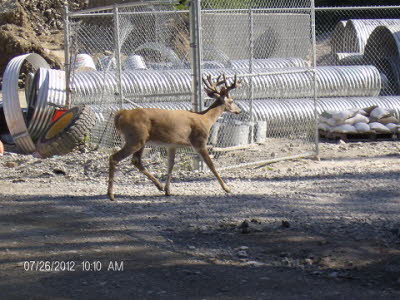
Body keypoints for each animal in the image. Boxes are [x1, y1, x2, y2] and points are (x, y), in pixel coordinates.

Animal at [106, 72, 242, 200]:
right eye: (232, 101)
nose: (239, 111)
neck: (206, 119)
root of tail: (121, 114)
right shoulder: (199, 141)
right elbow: (211, 165)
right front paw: (227, 188)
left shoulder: (172, 145)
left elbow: (170, 164)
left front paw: (168, 190)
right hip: (135, 138)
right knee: (114, 157)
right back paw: (111, 194)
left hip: (140, 140)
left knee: (136, 160)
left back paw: (159, 186)